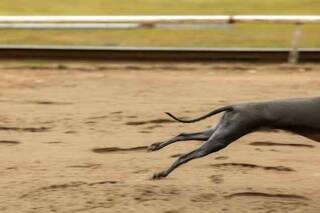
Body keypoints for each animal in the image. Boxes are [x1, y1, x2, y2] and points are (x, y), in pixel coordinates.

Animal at [150, 97, 320, 180]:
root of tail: (235, 106)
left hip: (215, 133)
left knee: (183, 134)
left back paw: (155, 146)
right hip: (220, 140)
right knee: (184, 156)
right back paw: (161, 174)